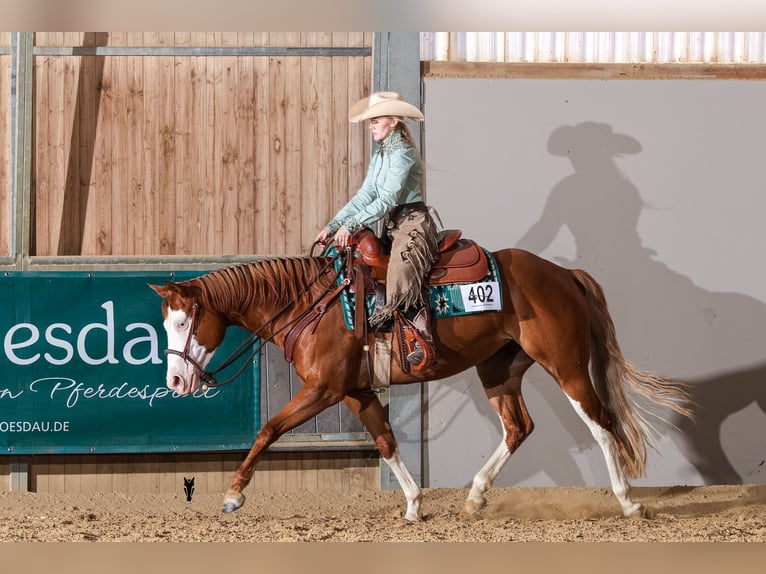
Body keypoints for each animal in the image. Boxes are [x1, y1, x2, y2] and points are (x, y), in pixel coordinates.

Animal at [149, 236, 693, 520]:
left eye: (184, 322)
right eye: (165, 323)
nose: (175, 383)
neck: (311, 305)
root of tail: (563, 275)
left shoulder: (323, 390)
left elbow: (268, 430)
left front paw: (233, 494)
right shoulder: (355, 391)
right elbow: (386, 440)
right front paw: (412, 504)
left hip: (567, 365)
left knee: (600, 422)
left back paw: (627, 501)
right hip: (499, 369)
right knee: (518, 427)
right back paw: (475, 496)